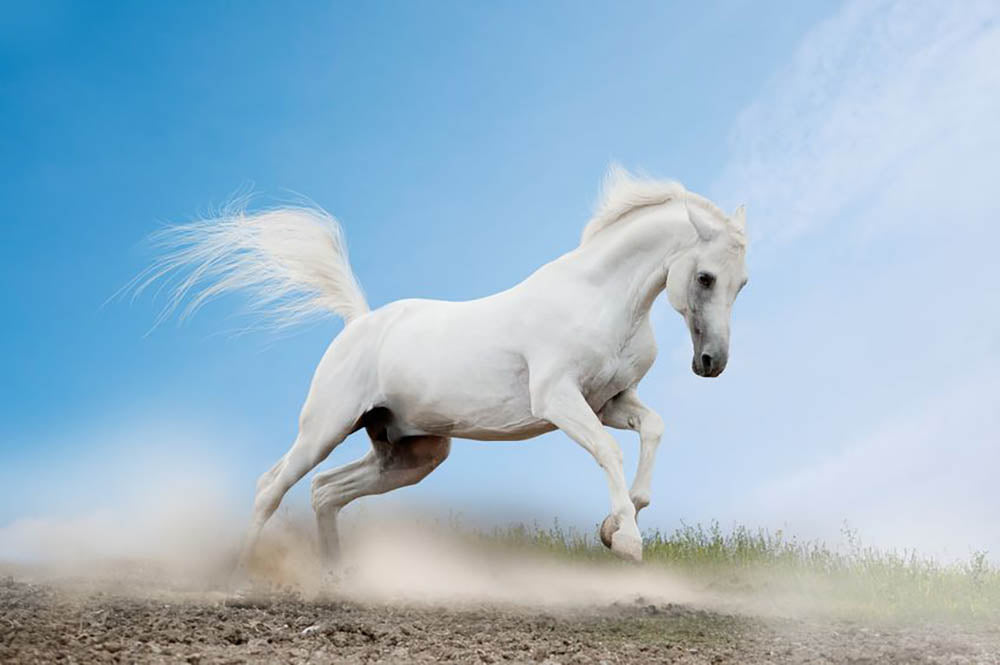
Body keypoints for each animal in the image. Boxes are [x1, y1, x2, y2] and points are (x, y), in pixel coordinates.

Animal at [134, 165, 748, 576]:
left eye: (742, 283)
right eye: (706, 278)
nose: (711, 364)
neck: (601, 300)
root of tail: (359, 321)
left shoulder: (610, 401)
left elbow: (653, 430)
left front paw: (617, 524)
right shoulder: (558, 400)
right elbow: (609, 452)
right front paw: (627, 543)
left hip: (410, 452)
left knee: (325, 492)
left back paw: (336, 580)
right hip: (325, 428)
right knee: (273, 485)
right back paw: (239, 573)